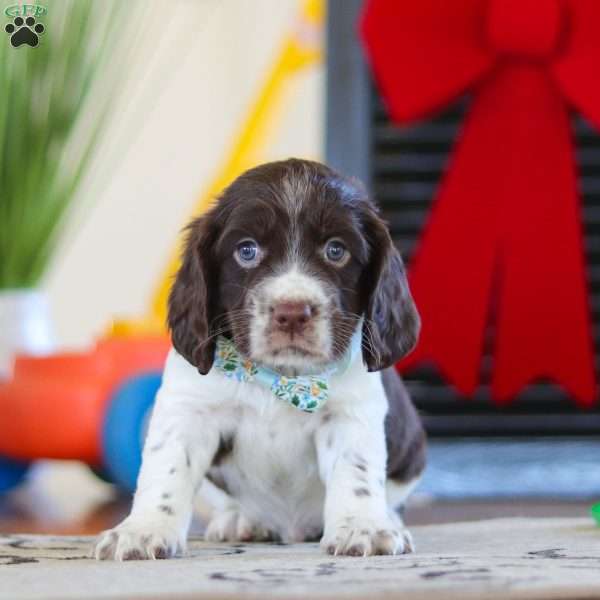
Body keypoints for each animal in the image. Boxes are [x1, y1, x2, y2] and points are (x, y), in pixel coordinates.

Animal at [95, 157, 426, 560]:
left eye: (336, 250)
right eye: (247, 250)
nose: (292, 312)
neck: (282, 376)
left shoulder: (351, 413)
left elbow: (357, 471)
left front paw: (363, 527)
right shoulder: (188, 410)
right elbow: (166, 468)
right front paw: (143, 530)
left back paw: (388, 519)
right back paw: (241, 521)